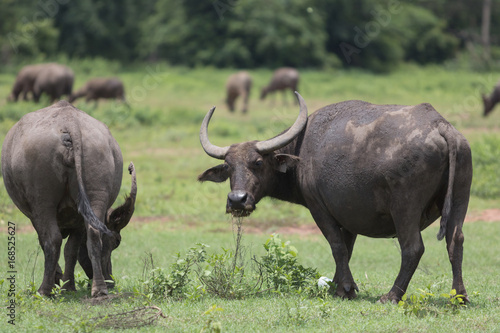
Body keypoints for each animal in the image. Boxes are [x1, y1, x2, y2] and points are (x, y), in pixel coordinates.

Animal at [1, 100, 137, 296]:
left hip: (42, 199)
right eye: (116, 242)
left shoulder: (35, 216)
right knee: (93, 234)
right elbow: (72, 249)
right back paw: (99, 290)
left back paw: (44, 290)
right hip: (95, 182)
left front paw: (59, 282)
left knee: (52, 240)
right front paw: (68, 286)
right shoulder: (77, 219)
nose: (111, 281)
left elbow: (47, 243)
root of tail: (70, 124)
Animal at [197, 92, 470, 302]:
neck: (300, 151)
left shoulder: (319, 208)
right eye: (229, 166)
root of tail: (441, 126)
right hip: (460, 198)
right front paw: (340, 285)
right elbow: (347, 249)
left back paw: (391, 296)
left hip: (404, 208)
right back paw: (459, 296)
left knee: (413, 247)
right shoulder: (348, 215)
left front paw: (345, 289)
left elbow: (336, 246)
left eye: (257, 163)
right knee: (455, 241)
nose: (237, 200)